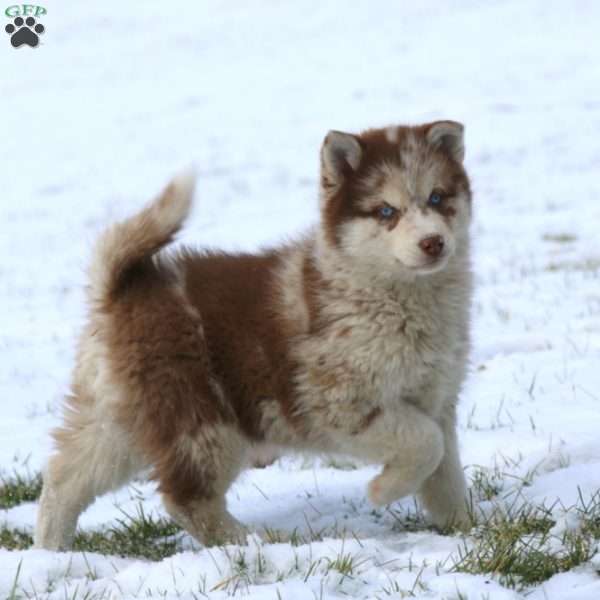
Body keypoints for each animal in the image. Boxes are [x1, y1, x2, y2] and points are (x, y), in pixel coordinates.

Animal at [34, 120, 474, 548]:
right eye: (386, 211)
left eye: (437, 198)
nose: (433, 243)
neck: (401, 296)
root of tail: (120, 290)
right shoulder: (338, 401)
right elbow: (425, 443)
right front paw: (383, 491)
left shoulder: (438, 397)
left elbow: (444, 469)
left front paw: (464, 529)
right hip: (203, 423)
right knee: (187, 499)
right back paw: (253, 542)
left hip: (121, 419)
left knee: (65, 477)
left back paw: (50, 549)